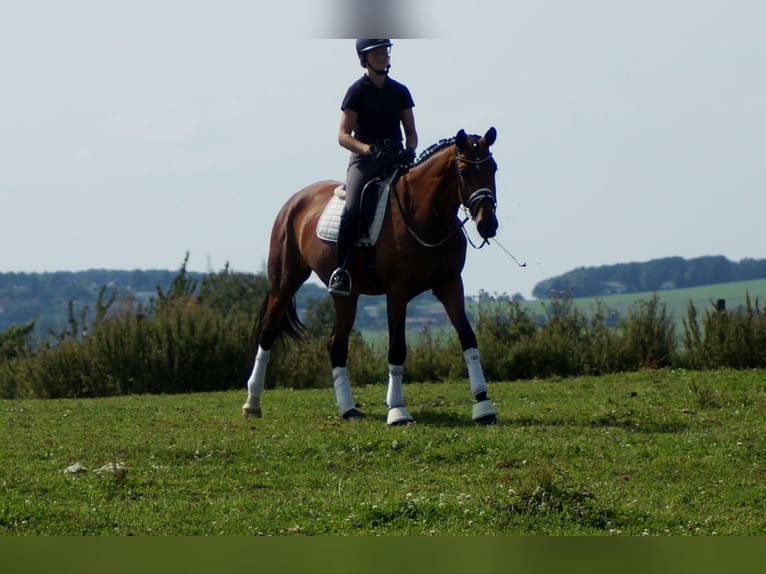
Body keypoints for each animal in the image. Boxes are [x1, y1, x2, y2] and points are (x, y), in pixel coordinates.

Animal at [243, 129, 500, 428]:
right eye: (463, 170)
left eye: (493, 168)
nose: (488, 225)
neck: (425, 216)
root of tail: (294, 201)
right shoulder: (397, 292)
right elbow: (397, 347)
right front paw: (398, 410)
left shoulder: (449, 285)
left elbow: (468, 338)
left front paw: (483, 404)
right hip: (285, 282)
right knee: (268, 334)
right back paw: (252, 403)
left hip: (346, 295)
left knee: (336, 344)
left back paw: (348, 410)